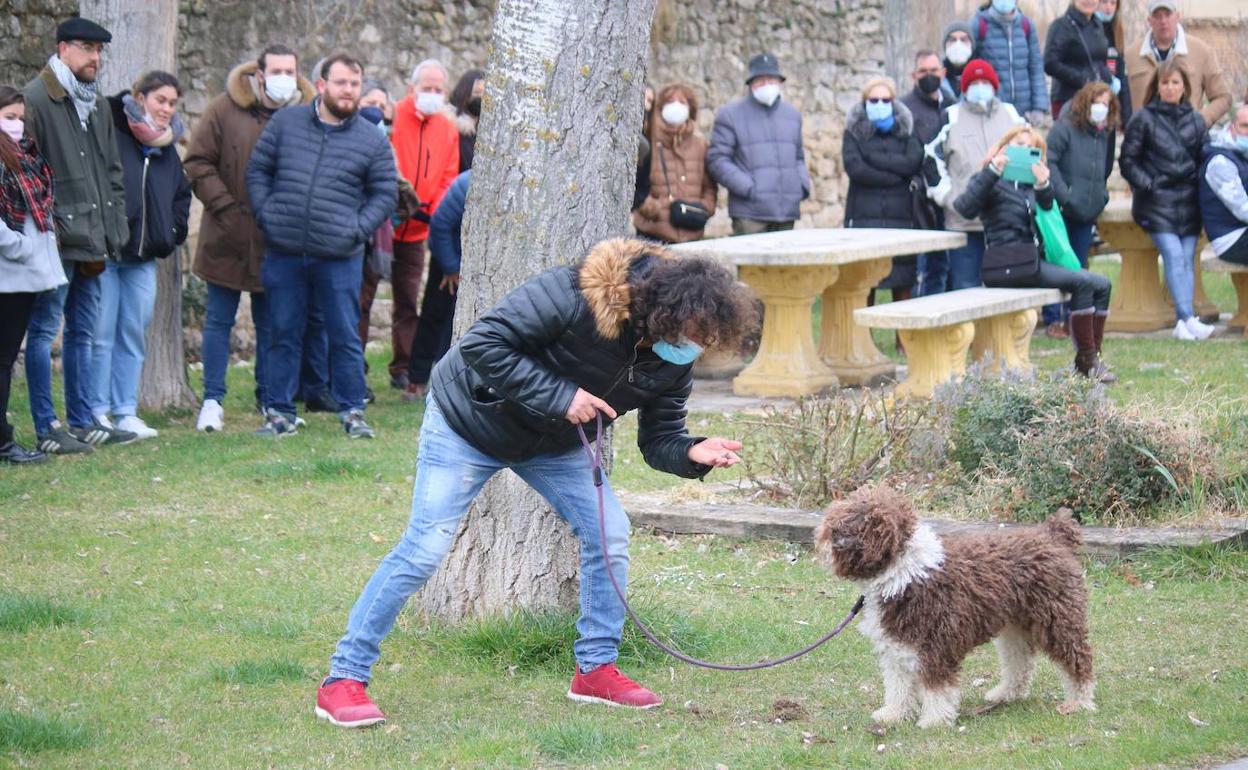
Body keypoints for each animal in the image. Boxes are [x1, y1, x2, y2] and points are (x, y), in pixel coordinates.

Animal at [808, 486, 1093, 728]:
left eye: (841, 521)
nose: (819, 537)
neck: (904, 572)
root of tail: (1053, 535)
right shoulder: (897, 645)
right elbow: (898, 684)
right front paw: (893, 713)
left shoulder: (937, 644)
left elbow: (937, 686)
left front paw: (934, 720)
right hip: (1015, 626)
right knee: (1019, 662)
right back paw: (1005, 693)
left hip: (1058, 619)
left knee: (1078, 661)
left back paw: (1079, 701)